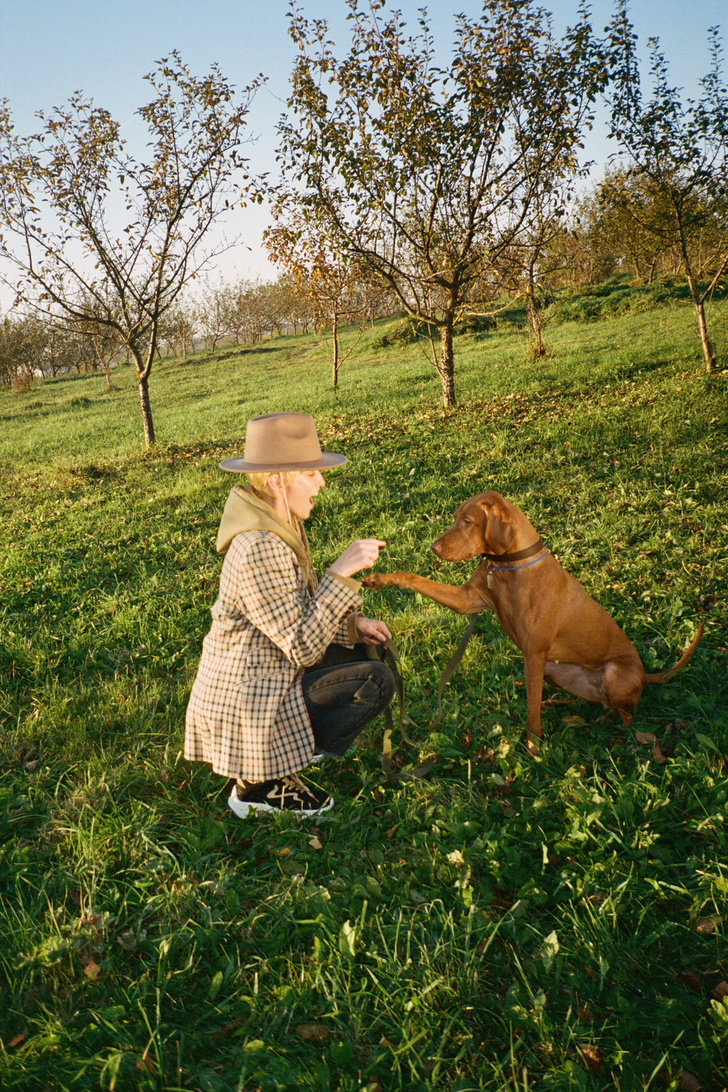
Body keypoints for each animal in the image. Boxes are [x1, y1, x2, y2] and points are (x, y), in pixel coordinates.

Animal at [364, 493, 707, 751]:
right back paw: (563, 706)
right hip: (556, 670)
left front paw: (534, 747)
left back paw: (621, 735)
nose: (433, 547)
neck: (505, 566)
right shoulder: (467, 601)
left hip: (611, 674)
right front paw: (378, 578)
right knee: (586, 700)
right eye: (455, 518)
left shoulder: (533, 653)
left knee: (625, 714)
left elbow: (531, 710)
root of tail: (644, 674)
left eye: (468, 522)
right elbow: (413, 577)